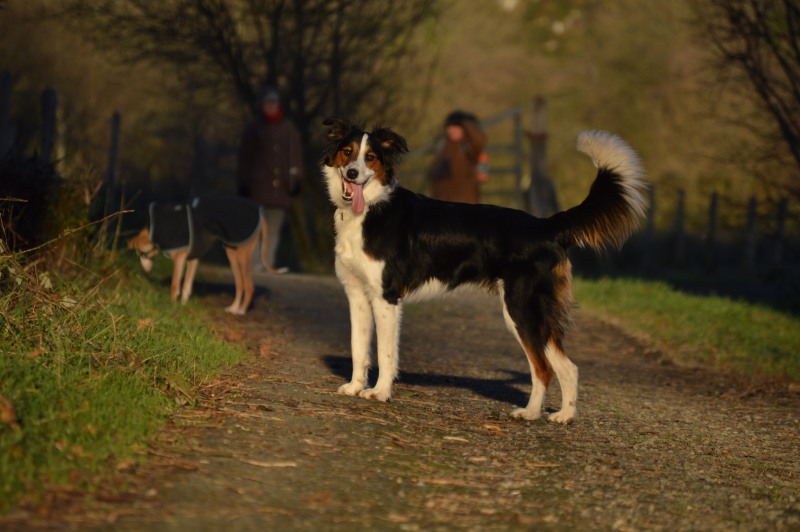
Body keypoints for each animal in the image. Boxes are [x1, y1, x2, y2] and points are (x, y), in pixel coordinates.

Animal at [322, 117, 648, 424]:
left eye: (370, 157)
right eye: (348, 152)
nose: (352, 174)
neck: (372, 208)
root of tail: (546, 226)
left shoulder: (386, 298)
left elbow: (385, 353)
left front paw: (379, 393)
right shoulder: (358, 296)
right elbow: (358, 347)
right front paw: (354, 387)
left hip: (520, 310)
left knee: (543, 369)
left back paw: (530, 414)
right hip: (537, 315)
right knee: (568, 367)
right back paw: (564, 416)